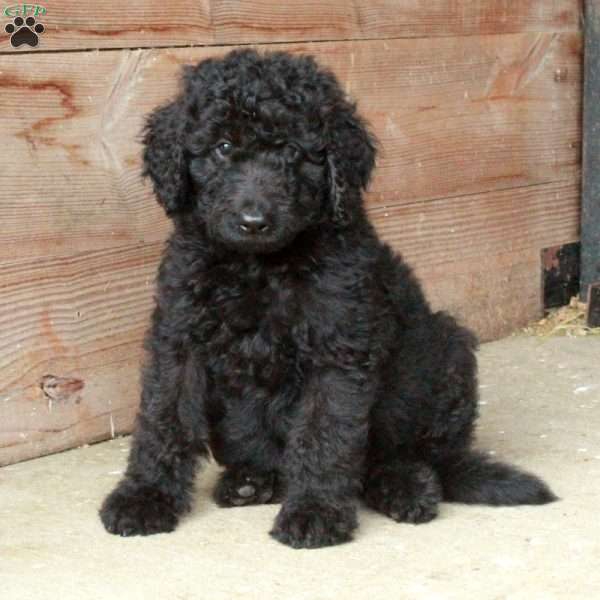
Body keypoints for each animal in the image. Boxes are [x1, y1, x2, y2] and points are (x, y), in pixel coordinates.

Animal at [99, 50, 556, 548]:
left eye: (295, 153)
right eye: (222, 147)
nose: (254, 221)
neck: (260, 267)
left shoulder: (338, 347)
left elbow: (325, 432)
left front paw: (314, 511)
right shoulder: (180, 337)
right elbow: (163, 419)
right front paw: (144, 496)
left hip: (446, 353)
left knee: (420, 456)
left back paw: (404, 486)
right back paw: (251, 481)